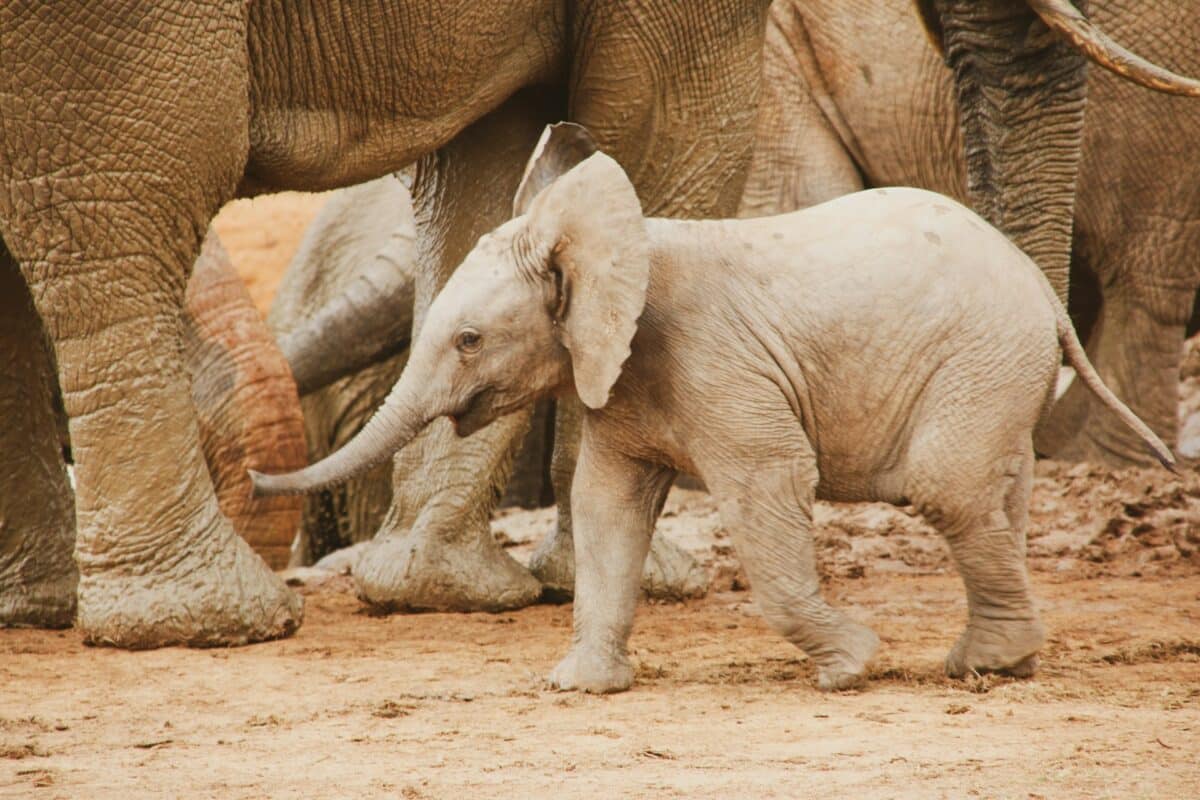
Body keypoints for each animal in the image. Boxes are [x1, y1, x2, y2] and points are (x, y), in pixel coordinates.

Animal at [0, 1, 768, 652]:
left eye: (471, 341)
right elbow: (662, 132)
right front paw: (656, 582)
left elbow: (489, 163)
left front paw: (435, 585)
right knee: (127, 202)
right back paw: (206, 623)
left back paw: (42, 609)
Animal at [253, 122, 1171, 690]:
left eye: (470, 340)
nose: (257, 476)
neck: (610, 240)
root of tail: (1042, 292)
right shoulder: (619, 380)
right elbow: (606, 505)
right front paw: (579, 687)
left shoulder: (718, 368)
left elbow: (770, 484)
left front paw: (851, 668)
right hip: (998, 371)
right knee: (996, 495)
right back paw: (997, 665)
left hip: (981, 358)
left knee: (947, 488)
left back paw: (980, 666)